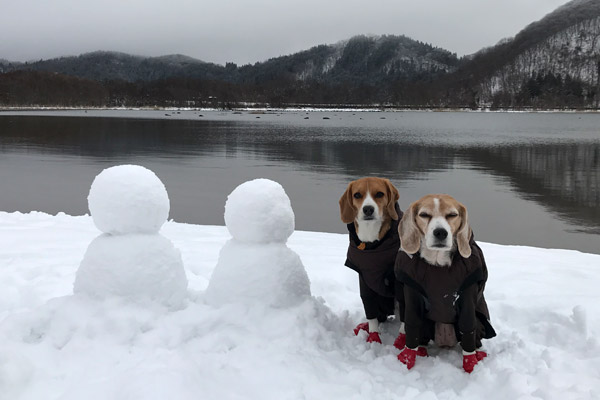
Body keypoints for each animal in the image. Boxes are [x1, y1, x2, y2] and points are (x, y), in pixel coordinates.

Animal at [338, 177, 404, 344]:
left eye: (379, 194)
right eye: (357, 195)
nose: (368, 209)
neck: (372, 246)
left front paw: (403, 340)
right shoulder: (365, 279)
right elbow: (371, 312)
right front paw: (373, 338)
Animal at [394, 195, 496, 374]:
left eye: (452, 215)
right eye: (424, 214)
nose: (440, 232)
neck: (438, 265)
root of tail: (445, 342)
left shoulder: (467, 298)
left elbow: (467, 327)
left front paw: (470, 365)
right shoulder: (413, 295)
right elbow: (411, 325)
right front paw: (407, 359)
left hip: (479, 324)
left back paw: (478, 354)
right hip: (426, 324)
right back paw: (421, 352)